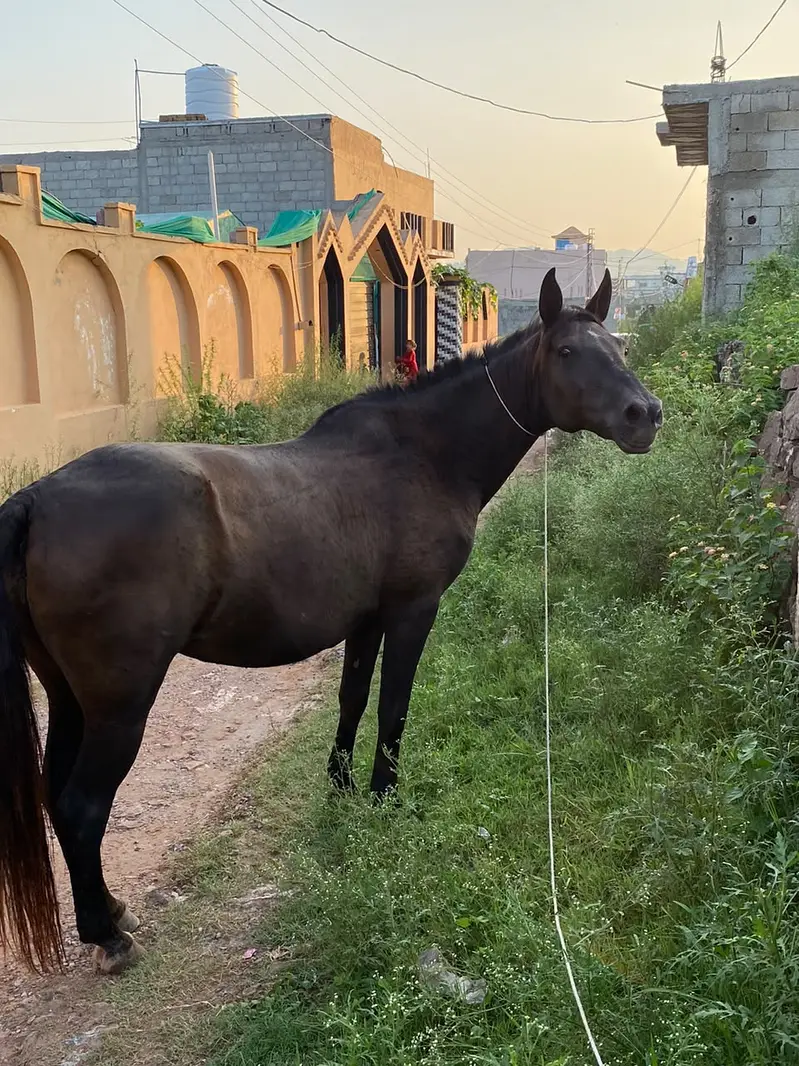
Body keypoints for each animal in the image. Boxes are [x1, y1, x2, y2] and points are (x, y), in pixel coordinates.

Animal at [0, 267, 662, 977]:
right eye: (567, 352)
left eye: (619, 348)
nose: (644, 415)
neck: (426, 454)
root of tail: (37, 499)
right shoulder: (411, 611)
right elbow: (394, 706)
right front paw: (382, 798)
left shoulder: (365, 620)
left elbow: (353, 698)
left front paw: (341, 792)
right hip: (120, 706)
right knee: (82, 807)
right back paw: (108, 934)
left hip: (70, 698)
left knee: (57, 798)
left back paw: (112, 913)